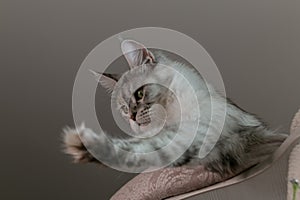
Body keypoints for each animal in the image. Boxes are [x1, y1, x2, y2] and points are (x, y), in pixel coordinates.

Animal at [62, 38, 286, 175]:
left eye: (140, 94)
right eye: (124, 109)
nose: (132, 118)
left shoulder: (195, 133)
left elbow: (141, 149)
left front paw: (84, 144)